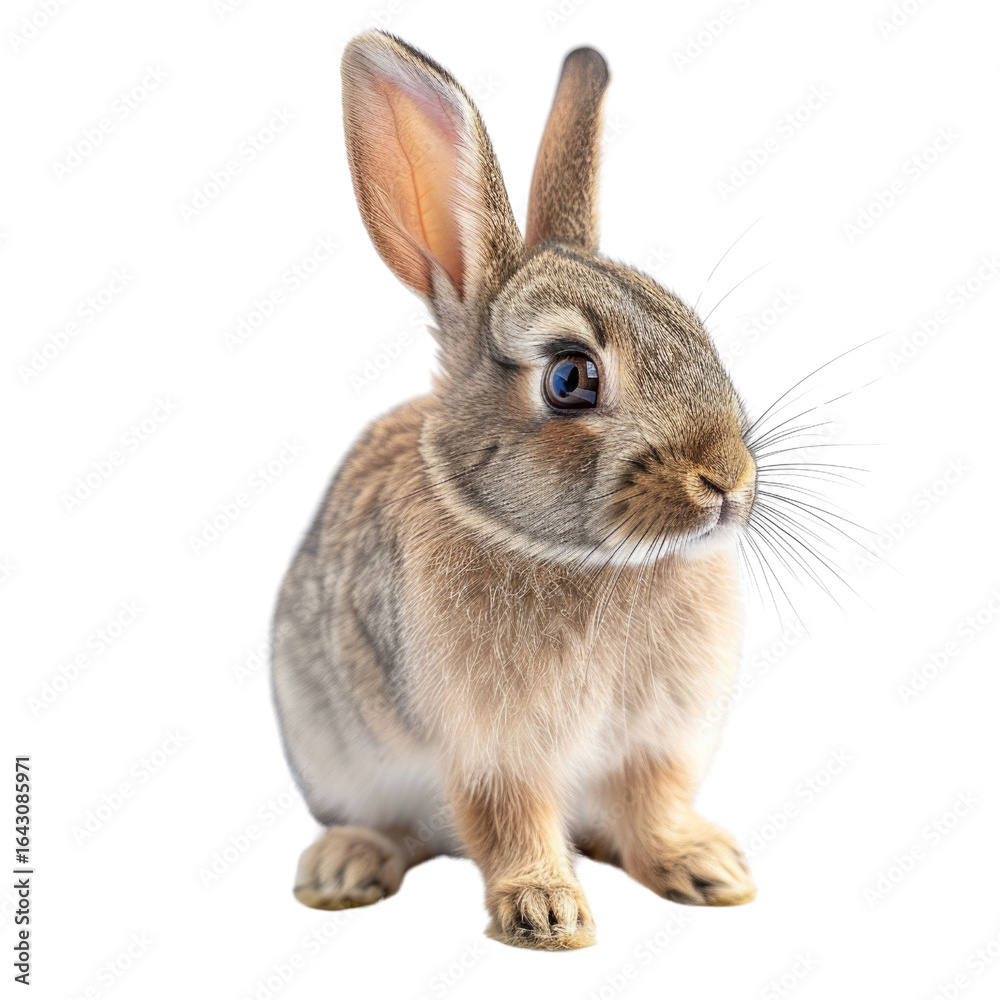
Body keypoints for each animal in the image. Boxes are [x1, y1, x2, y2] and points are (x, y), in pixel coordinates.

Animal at [272, 30, 758, 951]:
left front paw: (707, 871)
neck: (590, 562)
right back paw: (344, 868)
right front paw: (546, 914)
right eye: (571, 378)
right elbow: (509, 819)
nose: (728, 481)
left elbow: (652, 806)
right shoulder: (491, 750)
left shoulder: (653, 742)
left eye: (696, 333)